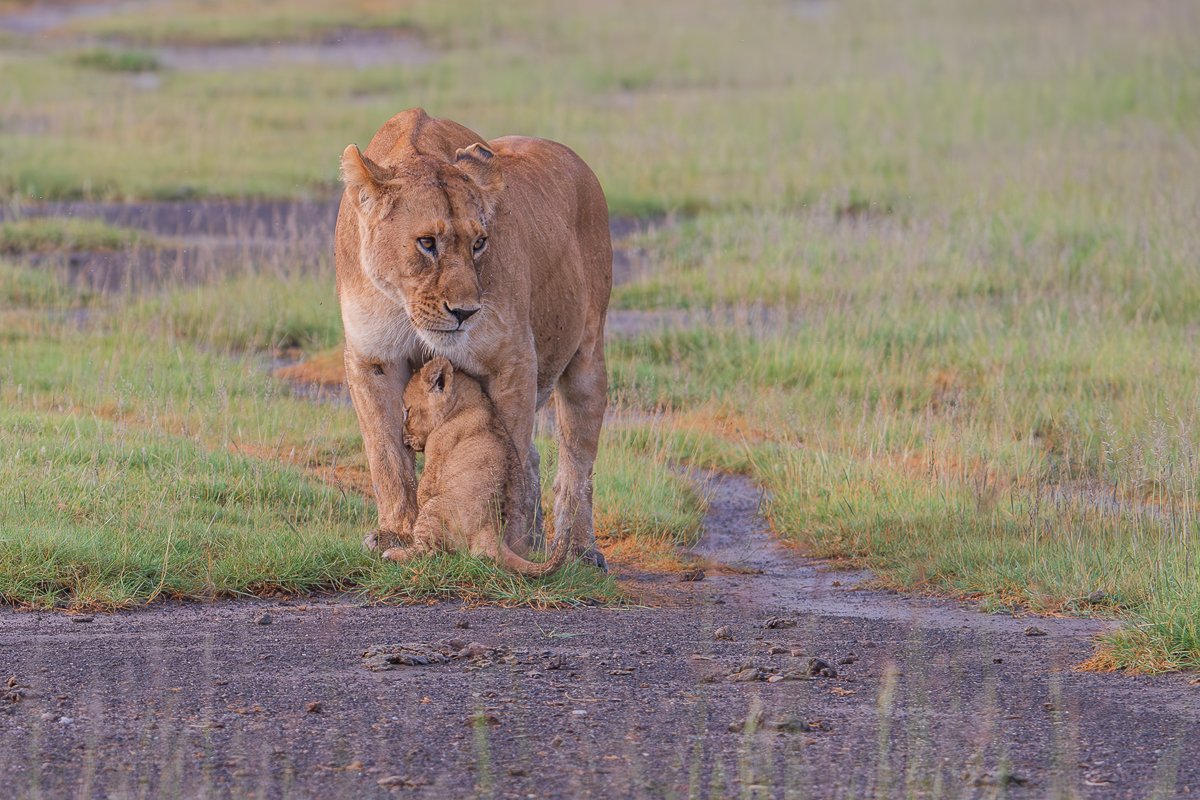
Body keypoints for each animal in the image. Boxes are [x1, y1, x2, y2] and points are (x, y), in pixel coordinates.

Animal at [379, 357, 573, 577]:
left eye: (407, 412)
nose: (404, 441)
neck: (466, 402)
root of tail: (493, 531)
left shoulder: (437, 452)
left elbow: (423, 488)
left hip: (434, 507)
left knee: (432, 555)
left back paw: (393, 554)